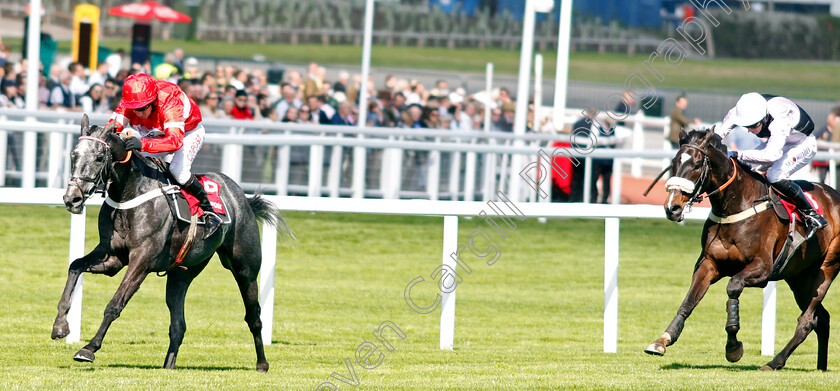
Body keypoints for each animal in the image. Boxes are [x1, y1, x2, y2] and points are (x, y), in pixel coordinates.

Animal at [52, 115, 294, 372]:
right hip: (182, 272)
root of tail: (243, 197)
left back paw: (262, 363)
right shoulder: (111, 256)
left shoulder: (142, 259)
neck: (129, 193)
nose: (72, 198)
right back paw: (169, 365)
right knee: (179, 323)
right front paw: (60, 326)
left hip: (244, 268)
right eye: (73, 155)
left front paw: (88, 348)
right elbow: (75, 266)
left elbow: (115, 304)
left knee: (253, 315)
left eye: (99, 157)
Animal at [644, 129, 840, 370]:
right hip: (799, 277)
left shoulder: (763, 269)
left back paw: (774, 362)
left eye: (697, 165)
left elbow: (733, 287)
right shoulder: (708, 264)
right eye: (674, 163)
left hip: (826, 269)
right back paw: (820, 366)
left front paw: (733, 347)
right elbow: (689, 302)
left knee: (808, 320)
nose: (672, 208)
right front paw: (662, 340)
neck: (736, 206)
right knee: (822, 319)